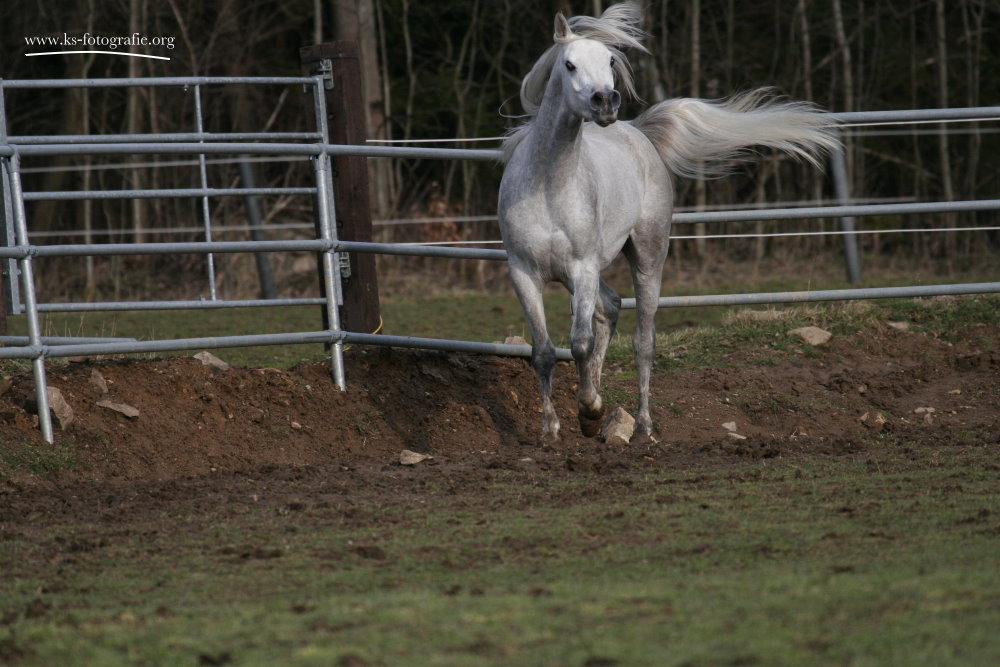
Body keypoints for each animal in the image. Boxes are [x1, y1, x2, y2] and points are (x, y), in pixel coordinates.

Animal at [498, 3, 836, 444]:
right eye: (569, 64)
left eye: (610, 61)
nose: (605, 101)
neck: (547, 186)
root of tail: (638, 132)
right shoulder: (524, 272)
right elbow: (542, 352)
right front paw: (551, 430)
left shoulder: (582, 267)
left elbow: (579, 342)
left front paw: (589, 412)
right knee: (610, 307)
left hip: (647, 258)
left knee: (643, 341)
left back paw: (643, 426)